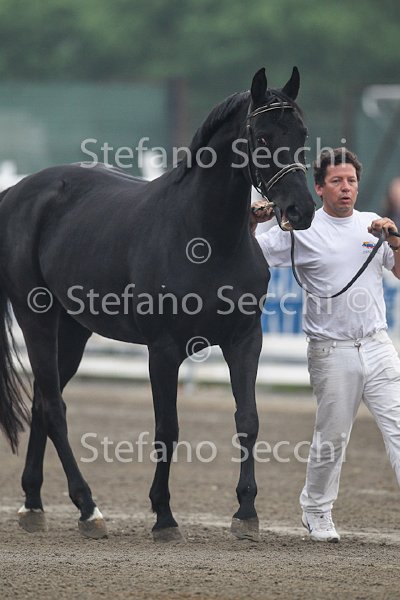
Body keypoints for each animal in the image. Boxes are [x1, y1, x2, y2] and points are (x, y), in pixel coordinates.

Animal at [0, 67, 315, 541]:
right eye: (260, 136)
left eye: (301, 133)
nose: (302, 210)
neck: (206, 239)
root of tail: (18, 191)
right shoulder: (163, 351)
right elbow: (167, 428)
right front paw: (164, 515)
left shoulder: (245, 340)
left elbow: (248, 419)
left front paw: (245, 511)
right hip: (35, 318)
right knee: (54, 407)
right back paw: (88, 508)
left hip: (72, 331)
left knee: (42, 399)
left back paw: (33, 504)